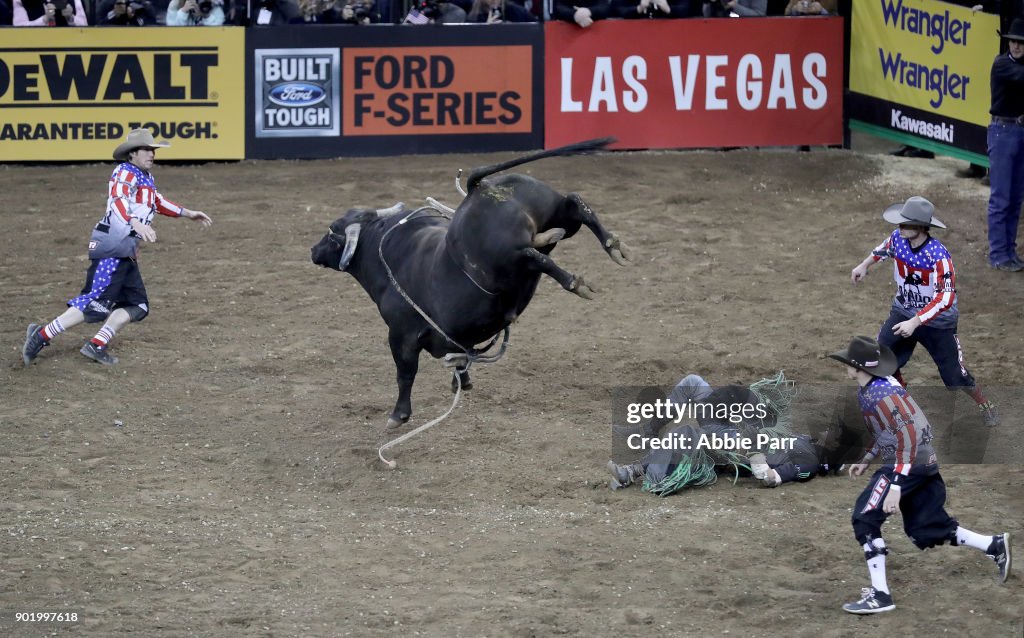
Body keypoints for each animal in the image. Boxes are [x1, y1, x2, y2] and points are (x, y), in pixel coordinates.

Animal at [309, 139, 630, 430]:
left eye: (332, 231)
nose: (313, 250)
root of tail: (478, 188)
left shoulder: (401, 334)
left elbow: (405, 373)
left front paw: (398, 415)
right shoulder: (458, 337)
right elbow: (462, 357)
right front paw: (461, 381)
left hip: (506, 257)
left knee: (531, 254)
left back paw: (576, 281)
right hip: (554, 214)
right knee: (575, 205)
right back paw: (614, 246)